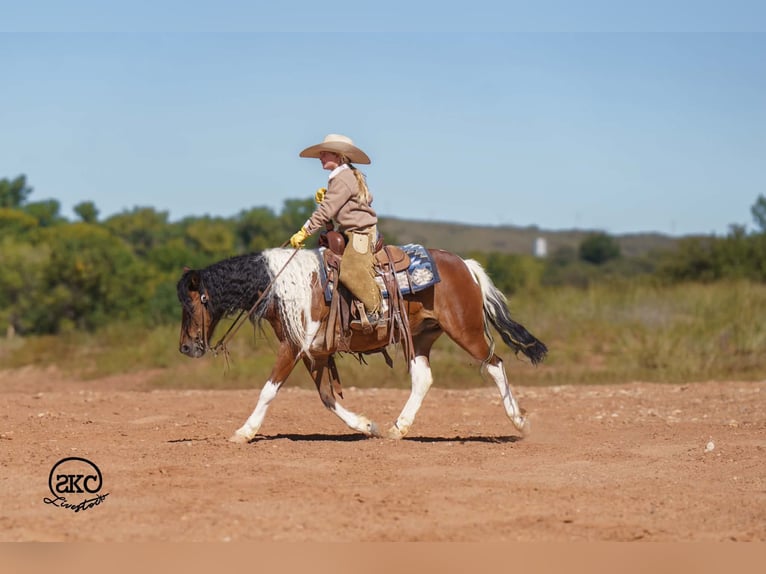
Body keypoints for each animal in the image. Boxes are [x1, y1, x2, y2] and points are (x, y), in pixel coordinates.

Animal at [176, 245, 547, 443]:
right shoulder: (315, 353)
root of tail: (466, 266)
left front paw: (244, 431)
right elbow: (327, 397)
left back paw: (520, 422)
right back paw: (398, 428)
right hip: (421, 337)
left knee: (495, 365)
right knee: (423, 379)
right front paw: (366, 425)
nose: (186, 348)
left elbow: (269, 390)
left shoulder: (292, 347)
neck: (281, 285)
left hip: (465, 330)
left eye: (193, 303)